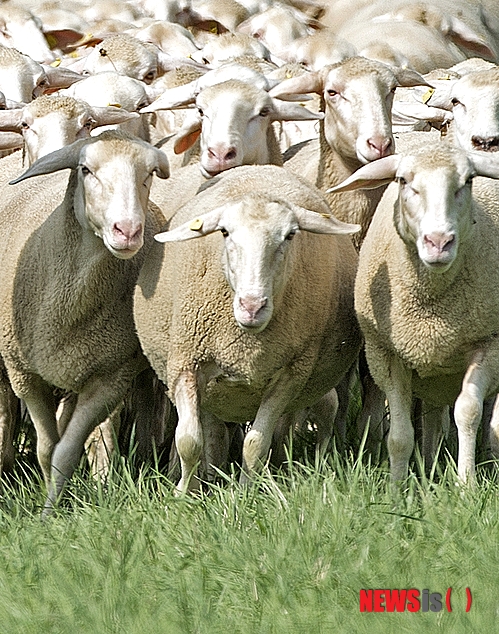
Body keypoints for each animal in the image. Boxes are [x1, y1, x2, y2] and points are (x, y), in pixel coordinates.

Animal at [0, 130, 170, 512]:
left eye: (149, 173)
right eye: (86, 170)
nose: (127, 231)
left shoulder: (109, 379)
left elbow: (64, 452)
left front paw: (54, 506)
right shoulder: (24, 374)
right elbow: (46, 449)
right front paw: (47, 511)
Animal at [134, 163, 364, 488]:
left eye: (290, 235)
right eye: (224, 232)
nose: (252, 306)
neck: (244, 344)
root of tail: (261, 167)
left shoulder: (291, 375)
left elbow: (255, 444)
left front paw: (246, 490)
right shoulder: (185, 363)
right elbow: (189, 441)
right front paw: (183, 490)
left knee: (325, 409)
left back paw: (315, 464)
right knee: (213, 430)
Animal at [328, 139, 499, 484]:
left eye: (468, 180)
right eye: (403, 181)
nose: (439, 242)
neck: (431, 307)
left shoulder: (489, 343)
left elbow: (468, 412)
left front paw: (466, 483)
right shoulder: (385, 353)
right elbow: (399, 435)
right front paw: (397, 485)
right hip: (433, 371)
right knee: (431, 417)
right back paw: (430, 463)